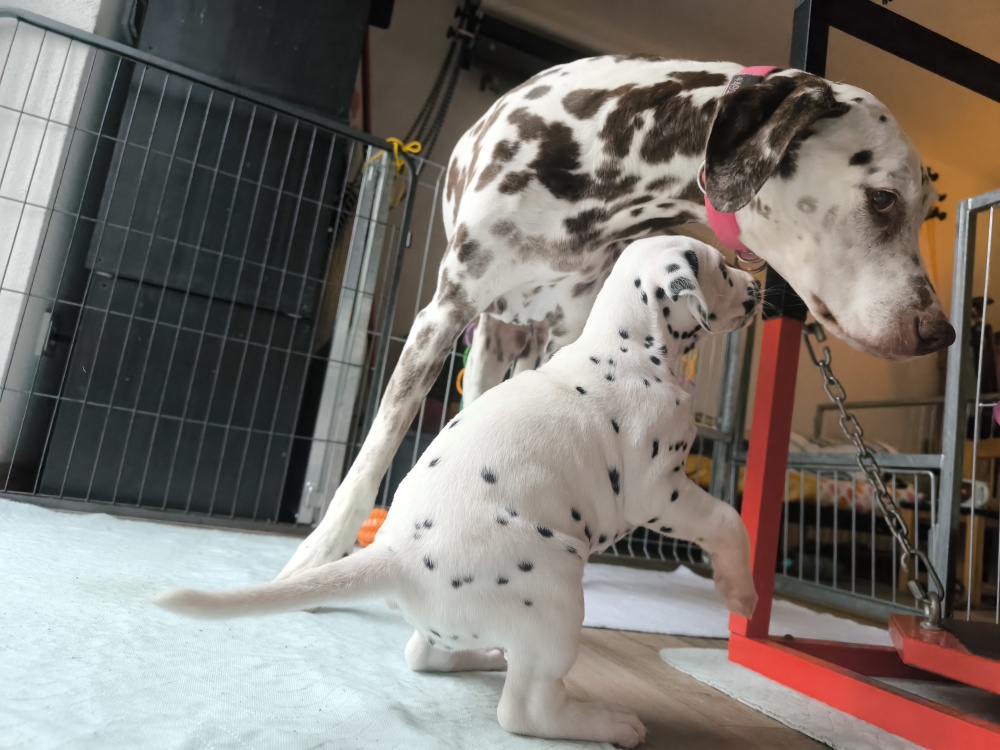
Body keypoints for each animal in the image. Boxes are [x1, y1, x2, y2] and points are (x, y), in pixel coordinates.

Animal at [156, 236, 760, 746]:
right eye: (723, 268)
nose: (758, 289)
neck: (625, 346)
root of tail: (394, 557)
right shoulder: (659, 490)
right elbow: (727, 518)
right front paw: (741, 595)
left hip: (469, 619)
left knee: (426, 652)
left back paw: (487, 656)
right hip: (557, 597)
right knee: (524, 711)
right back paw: (606, 723)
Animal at [279, 57, 955, 578]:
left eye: (923, 209)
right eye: (883, 198)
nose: (939, 332)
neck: (603, 153)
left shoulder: (567, 334)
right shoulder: (443, 314)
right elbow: (372, 452)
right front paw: (319, 553)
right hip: (491, 340)